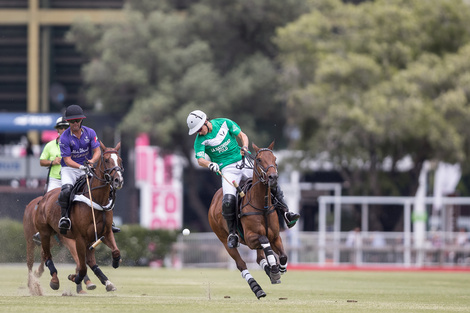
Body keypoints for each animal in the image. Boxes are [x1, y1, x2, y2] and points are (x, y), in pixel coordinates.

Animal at [34, 141, 124, 290]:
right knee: (47, 256)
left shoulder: (105, 232)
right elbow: (82, 267)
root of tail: (45, 197)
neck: (97, 199)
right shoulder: (80, 238)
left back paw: (106, 282)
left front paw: (116, 262)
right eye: (106, 160)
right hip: (45, 232)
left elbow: (116, 251)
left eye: (120, 160)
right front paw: (75, 278)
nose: (118, 180)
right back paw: (54, 280)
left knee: (90, 260)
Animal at [208, 141, 288, 298]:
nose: (273, 177)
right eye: (259, 159)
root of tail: (215, 198)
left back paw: (270, 272)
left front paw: (279, 269)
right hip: (224, 240)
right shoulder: (251, 238)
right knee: (241, 264)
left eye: (275, 158)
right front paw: (274, 268)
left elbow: (283, 256)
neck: (262, 206)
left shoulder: (275, 236)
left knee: (259, 258)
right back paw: (258, 289)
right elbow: (263, 240)